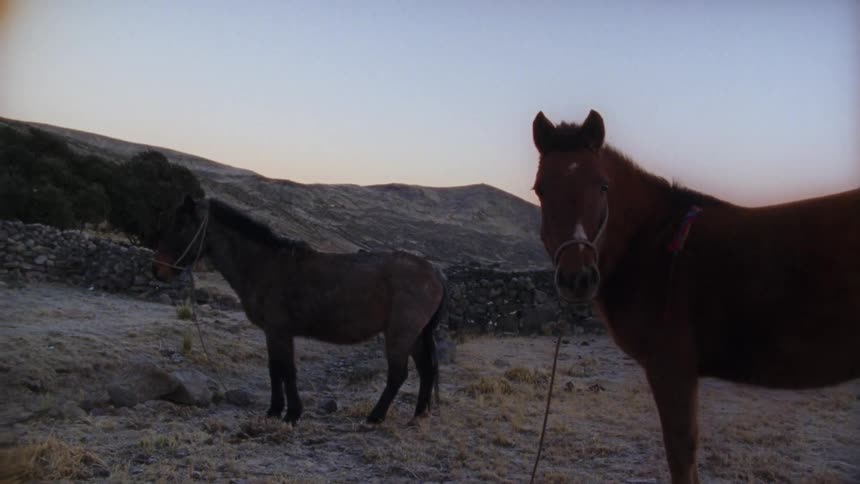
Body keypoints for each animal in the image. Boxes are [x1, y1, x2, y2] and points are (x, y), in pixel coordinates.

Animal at [152, 196, 447, 425]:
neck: (263, 264)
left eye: (180, 225)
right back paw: (418, 415)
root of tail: (435, 272)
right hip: (416, 336)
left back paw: (375, 417)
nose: (158, 271)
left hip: (400, 334)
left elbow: (287, 371)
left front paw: (291, 414)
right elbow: (275, 369)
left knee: (399, 374)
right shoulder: (273, 333)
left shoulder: (279, 331)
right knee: (426, 370)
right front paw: (274, 411)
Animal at [530, 109, 860, 483]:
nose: (578, 279)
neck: (655, 246)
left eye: (603, 186)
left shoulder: (672, 370)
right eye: (541, 189)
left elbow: (681, 457)